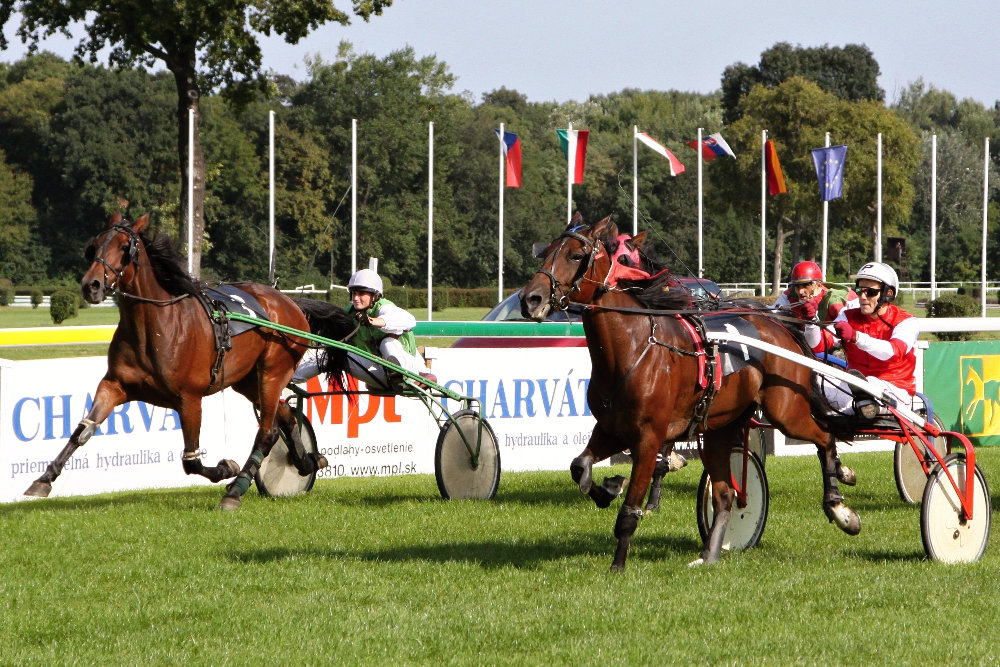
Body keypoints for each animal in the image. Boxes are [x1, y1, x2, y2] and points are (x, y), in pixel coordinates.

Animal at [24, 215, 356, 512]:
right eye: (94, 246)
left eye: (124, 247)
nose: (90, 285)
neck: (156, 327)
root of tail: (288, 301)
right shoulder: (115, 385)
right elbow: (83, 430)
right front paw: (43, 479)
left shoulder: (189, 398)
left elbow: (191, 460)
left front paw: (226, 468)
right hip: (247, 381)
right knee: (284, 419)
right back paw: (305, 461)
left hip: (273, 372)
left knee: (266, 431)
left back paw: (236, 490)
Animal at [516, 217, 860, 572]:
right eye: (546, 252)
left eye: (575, 255)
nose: (530, 299)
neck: (634, 348)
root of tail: (779, 328)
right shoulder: (610, 428)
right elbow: (579, 466)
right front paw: (608, 487)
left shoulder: (648, 437)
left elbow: (632, 506)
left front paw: (618, 564)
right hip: (720, 428)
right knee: (725, 495)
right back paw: (710, 554)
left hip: (786, 411)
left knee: (824, 437)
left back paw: (840, 507)